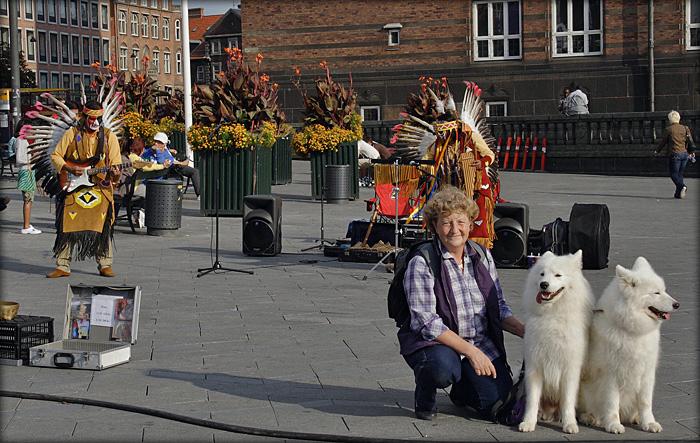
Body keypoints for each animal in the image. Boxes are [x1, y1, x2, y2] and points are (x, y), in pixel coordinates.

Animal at [516, 251, 592, 436]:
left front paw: (569, 424)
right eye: (542, 274)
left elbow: (568, 401)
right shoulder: (534, 367)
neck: (552, 315)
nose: (544, 285)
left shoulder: (570, 370)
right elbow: (532, 400)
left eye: (558, 275)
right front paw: (528, 422)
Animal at [576, 256, 680, 434]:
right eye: (656, 292)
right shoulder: (611, 374)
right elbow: (612, 403)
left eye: (664, 290)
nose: (677, 304)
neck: (633, 332)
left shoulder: (647, 373)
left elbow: (645, 402)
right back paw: (591, 418)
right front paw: (613, 425)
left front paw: (649, 423)